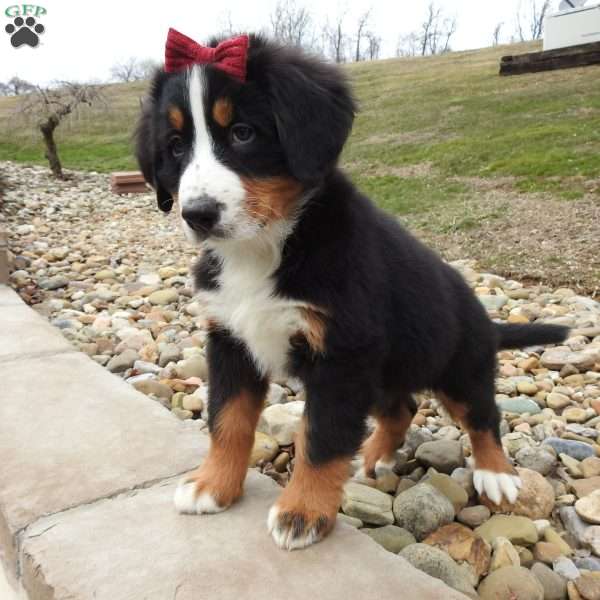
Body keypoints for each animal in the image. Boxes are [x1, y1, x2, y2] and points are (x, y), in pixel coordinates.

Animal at [135, 31, 568, 548]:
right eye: (176, 146)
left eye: (242, 133)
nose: (197, 214)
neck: (265, 248)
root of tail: (487, 320)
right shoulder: (231, 342)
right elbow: (228, 421)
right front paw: (213, 485)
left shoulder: (341, 357)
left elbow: (321, 439)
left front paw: (303, 512)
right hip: (384, 373)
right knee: (401, 408)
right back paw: (375, 457)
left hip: (459, 366)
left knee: (483, 415)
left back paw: (496, 473)